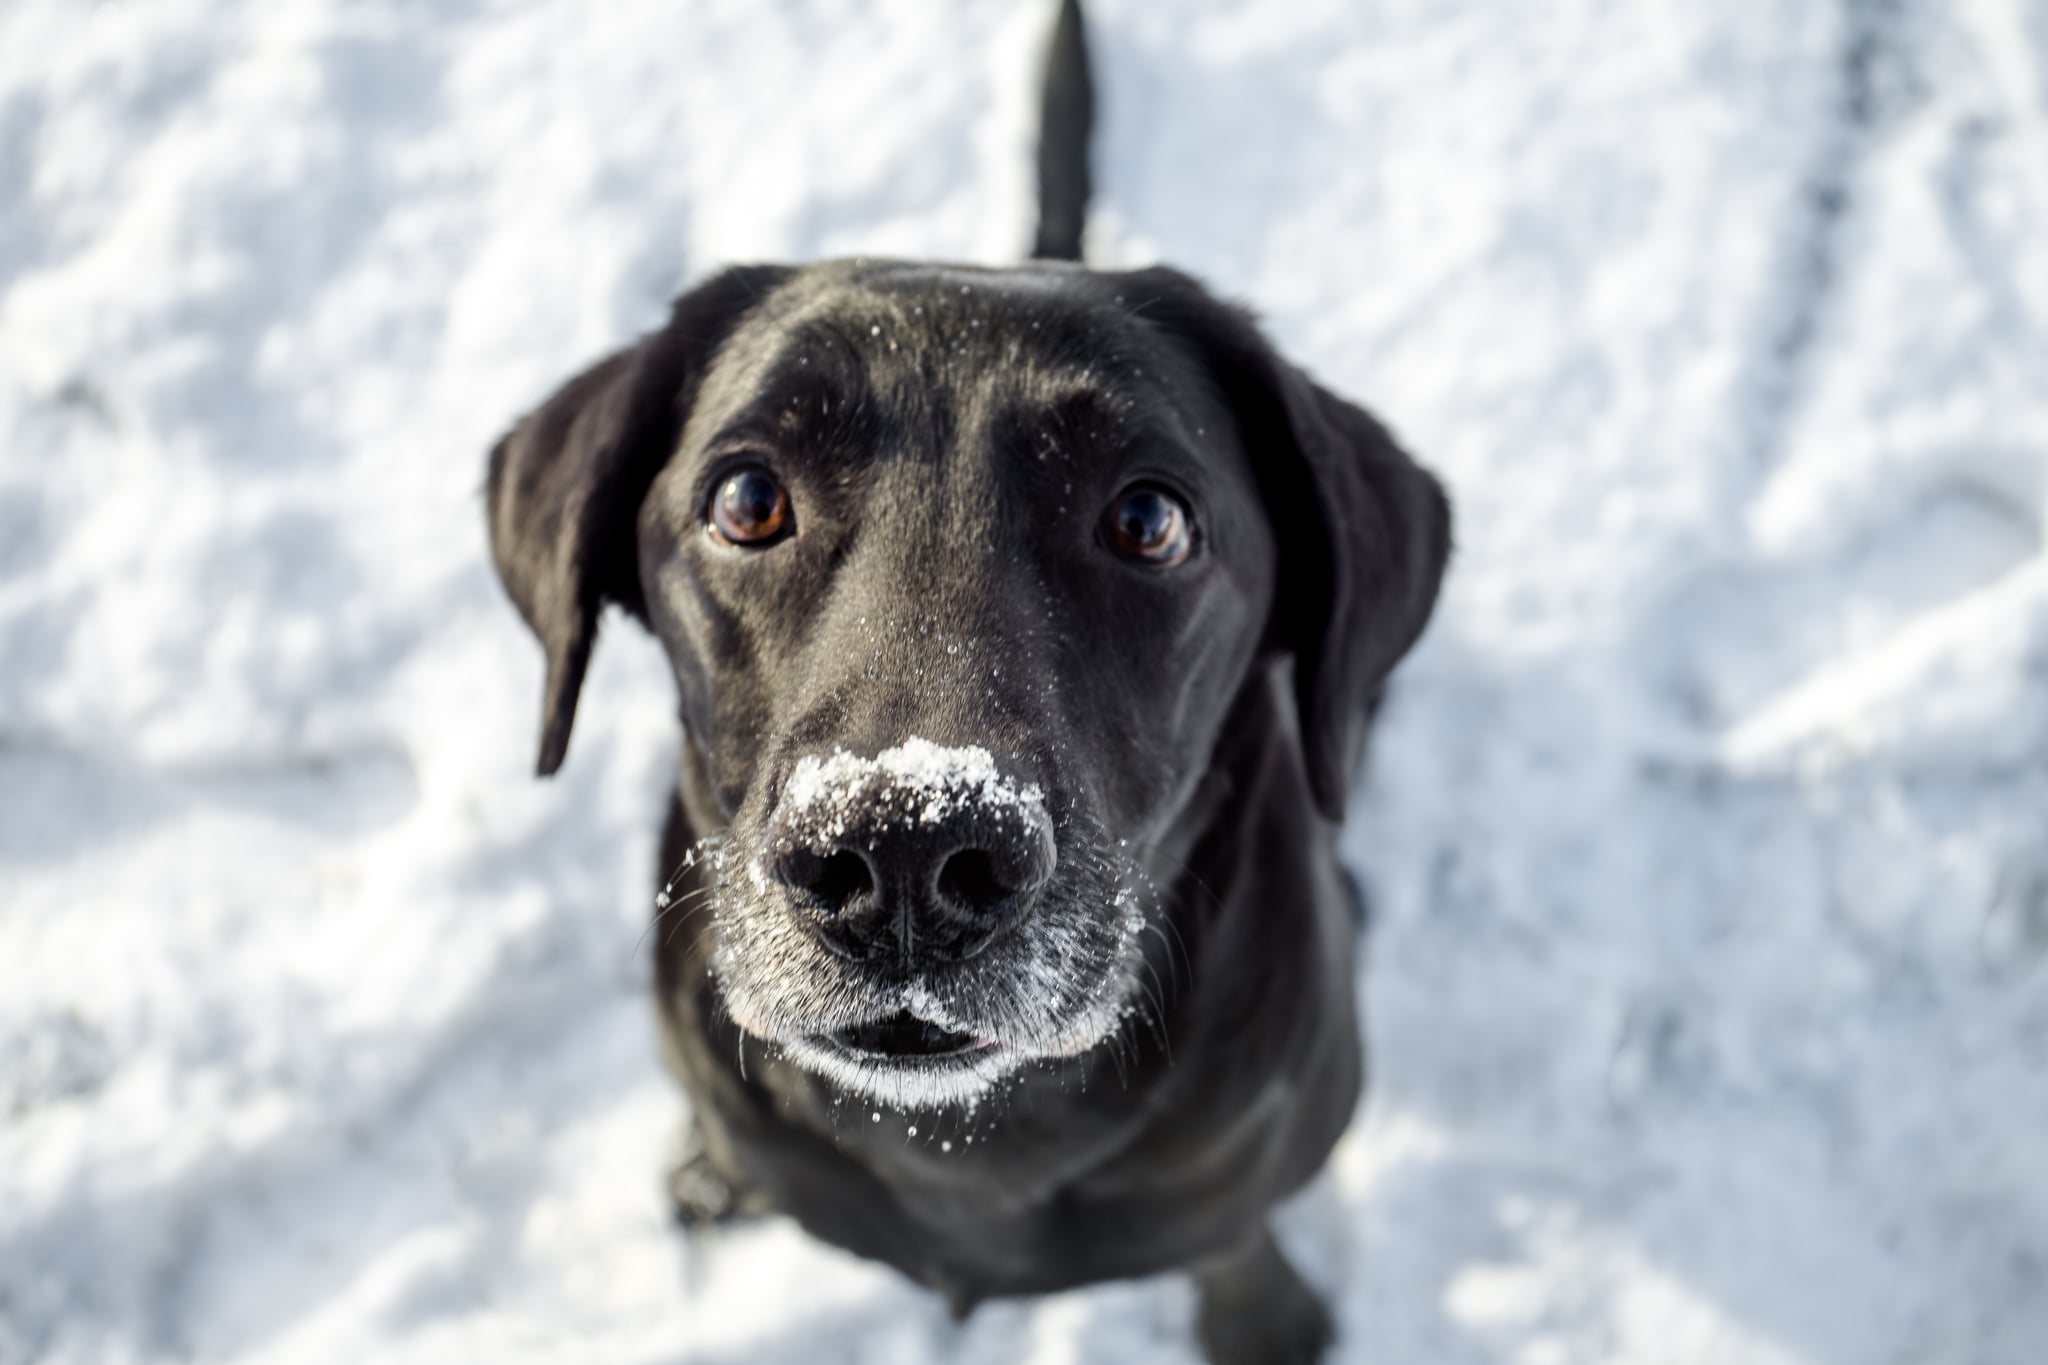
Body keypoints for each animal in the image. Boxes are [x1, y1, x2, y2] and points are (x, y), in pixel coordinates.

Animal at [483, 5, 1441, 1358]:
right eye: (746, 498)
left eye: (1148, 519)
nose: (900, 858)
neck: (974, 1145)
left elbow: (1233, 1239)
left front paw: (1266, 1317)